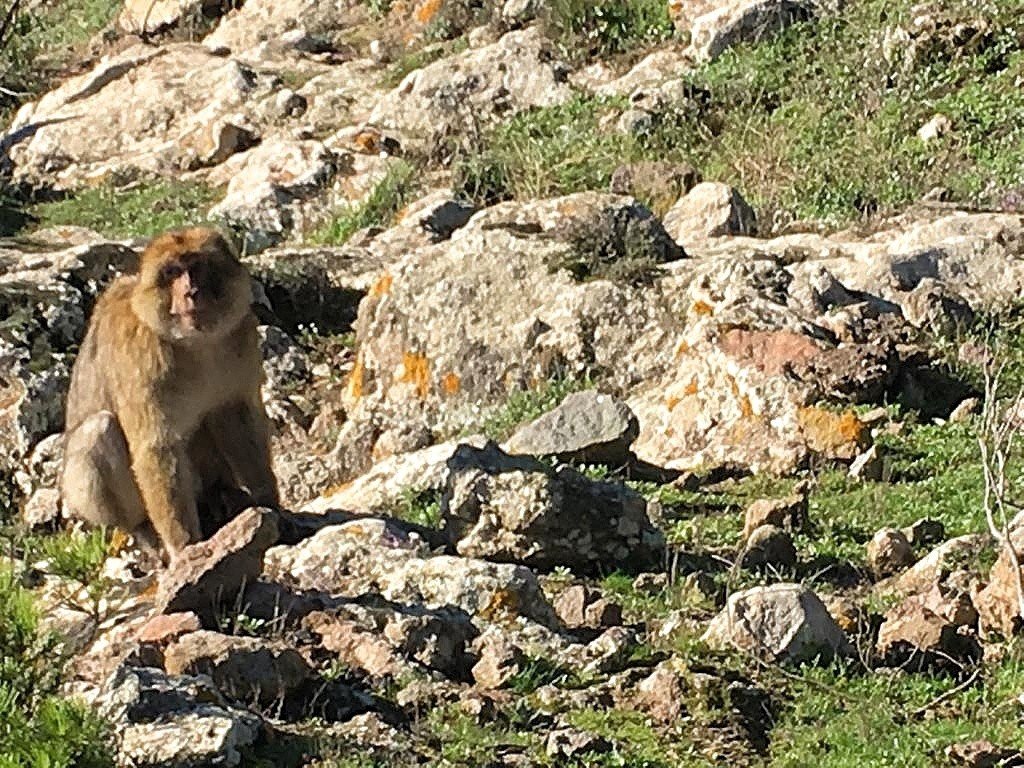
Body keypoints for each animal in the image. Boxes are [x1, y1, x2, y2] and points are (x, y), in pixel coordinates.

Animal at [60, 227, 279, 562]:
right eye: (172, 273)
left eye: (197, 267)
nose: (190, 292)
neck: (196, 344)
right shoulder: (142, 359)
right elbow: (157, 448)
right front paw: (184, 547)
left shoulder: (241, 337)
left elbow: (235, 418)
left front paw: (270, 501)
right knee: (98, 430)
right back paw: (146, 534)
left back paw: (221, 497)